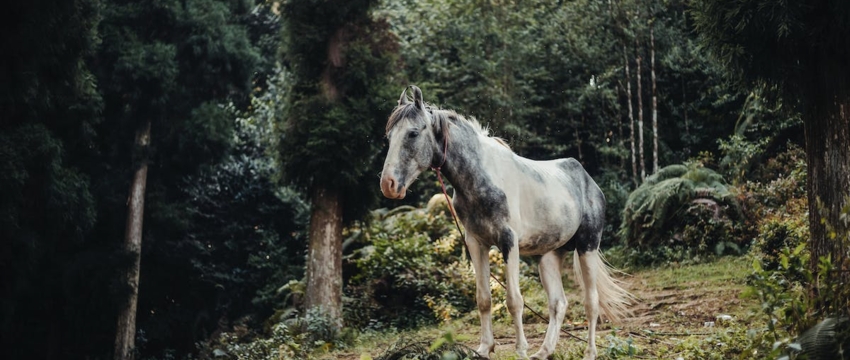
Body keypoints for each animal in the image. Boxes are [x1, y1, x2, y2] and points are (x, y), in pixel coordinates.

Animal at [378, 86, 628, 358]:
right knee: (558, 303)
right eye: (389, 136)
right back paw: (544, 351)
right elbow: (484, 299)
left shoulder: (509, 242)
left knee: (591, 302)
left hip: (587, 247)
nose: (388, 184)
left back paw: (589, 352)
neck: (481, 177)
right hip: (549, 256)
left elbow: (514, 301)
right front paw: (485, 348)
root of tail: (588, 182)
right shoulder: (476, 243)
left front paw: (521, 350)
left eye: (413, 133)